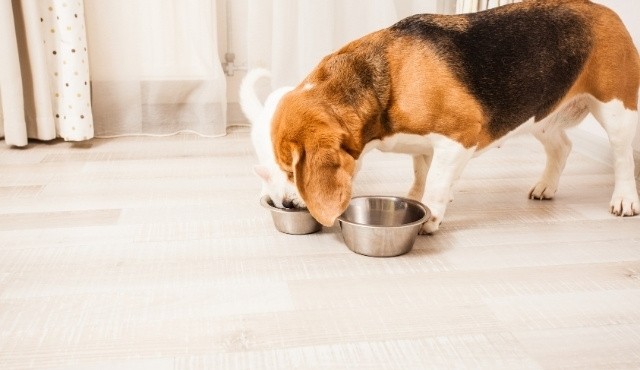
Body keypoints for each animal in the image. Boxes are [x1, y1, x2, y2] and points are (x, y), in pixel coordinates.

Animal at [255, 0, 640, 234]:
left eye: (291, 171)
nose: (284, 203)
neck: (385, 79)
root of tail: (604, 10)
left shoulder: (460, 136)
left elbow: (437, 182)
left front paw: (431, 216)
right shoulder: (424, 145)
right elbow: (421, 175)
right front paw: (417, 197)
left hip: (616, 109)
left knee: (622, 157)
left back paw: (624, 199)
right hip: (541, 113)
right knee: (562, 147)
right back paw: (546, 186)